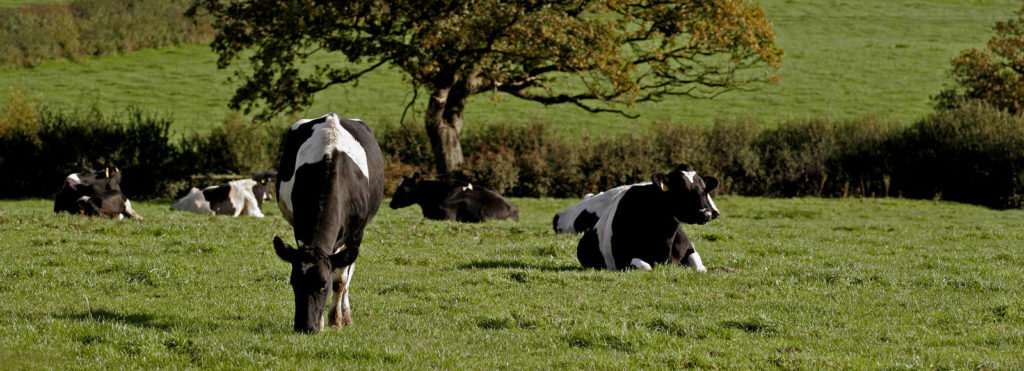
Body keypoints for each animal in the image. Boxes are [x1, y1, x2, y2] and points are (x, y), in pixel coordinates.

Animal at [272, 112, 385, 334]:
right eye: (293, 283)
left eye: (322, 285)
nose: (305, 327)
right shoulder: (300, 229)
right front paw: (323, 322)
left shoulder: (356, 234)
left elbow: (341, 281)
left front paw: (336, 320)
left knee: (347, 273)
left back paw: (346, 315)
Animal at [557, 163, 716, 270]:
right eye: (682, 190)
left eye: (704, 191)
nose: (706, 213)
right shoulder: (623, 260)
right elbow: (646, 266)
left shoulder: (689, 249)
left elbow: (700, 267)